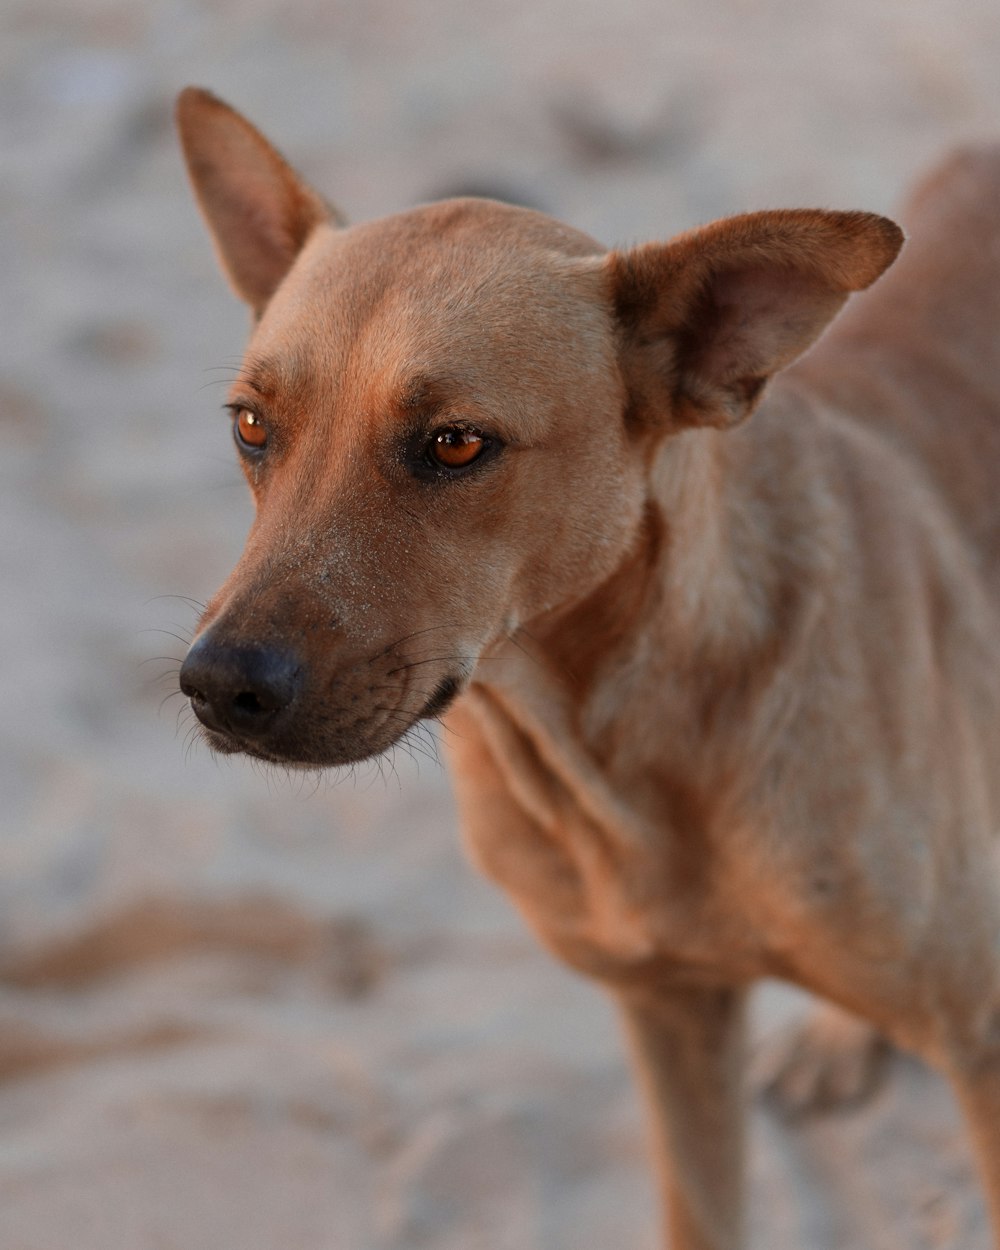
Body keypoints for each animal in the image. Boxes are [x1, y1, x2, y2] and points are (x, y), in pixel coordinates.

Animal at [176, 83, 1000, 1245]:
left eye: (456, 444)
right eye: (253, 426)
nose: (215, 687)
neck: (610, 747)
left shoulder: (985, 1042)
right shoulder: (668, 1014)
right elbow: (698, 1210)